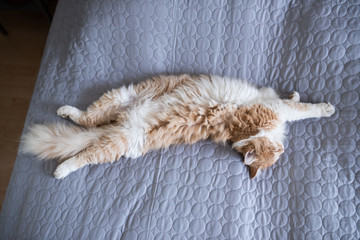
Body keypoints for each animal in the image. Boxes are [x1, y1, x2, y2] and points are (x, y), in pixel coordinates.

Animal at [20, 74, 334, 179]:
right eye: (272, 153)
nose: (282, 149)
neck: (244, 133)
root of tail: (121, 123)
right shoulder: (272, 109)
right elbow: (303, 110)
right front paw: (326, 108)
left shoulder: (271, 101)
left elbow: (291, 101)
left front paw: (295, 94)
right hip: (118, 108)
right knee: (81, 152)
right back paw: (61, 170)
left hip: (115, 123)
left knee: (86, 121)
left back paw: (66, 111)